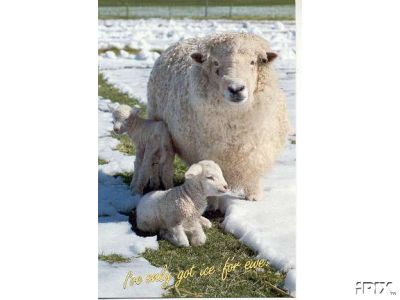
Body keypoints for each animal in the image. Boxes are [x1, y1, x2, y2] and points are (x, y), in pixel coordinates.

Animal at [148, 32, 290, 202]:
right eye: (215, 63)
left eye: (253, 62)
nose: (236, 89)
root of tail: (182, 42)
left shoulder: (256, 152)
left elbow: (253, 176)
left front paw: (253, 197)